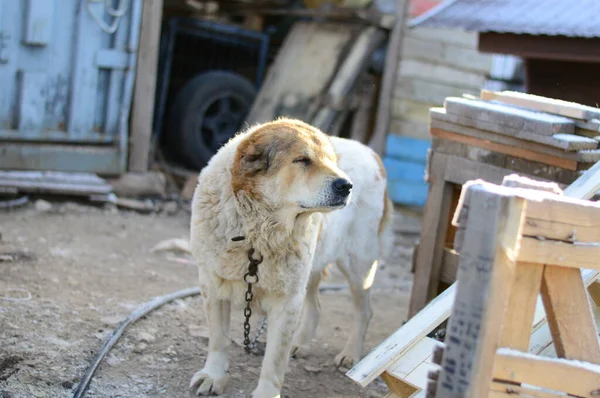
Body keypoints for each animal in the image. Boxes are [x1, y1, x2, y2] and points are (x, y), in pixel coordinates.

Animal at [189, 118, 394, 398]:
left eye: (332, 161)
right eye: (302, 160)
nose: (346, 185)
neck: (256, 231)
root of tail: (371, 152)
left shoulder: (287, 302)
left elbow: (274, 359)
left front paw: (266, 392)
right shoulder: (212, 285)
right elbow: (219, 340)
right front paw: (213, 376)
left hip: (357, 266)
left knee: (364, 310)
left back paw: (350, 354)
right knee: (316, 306)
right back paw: (302, 344)